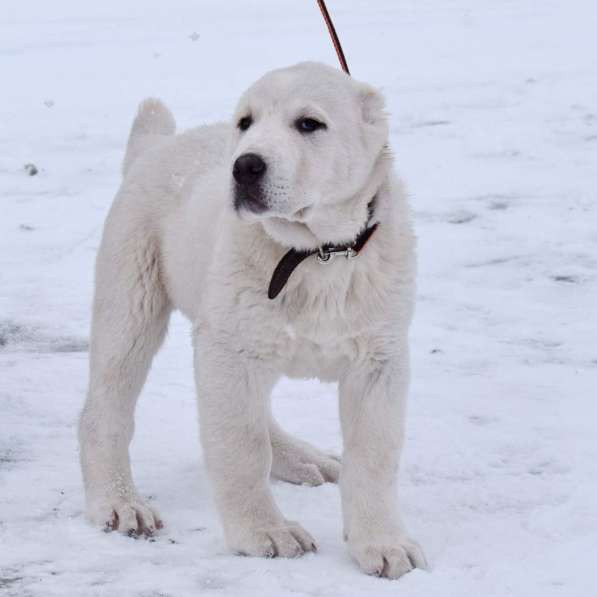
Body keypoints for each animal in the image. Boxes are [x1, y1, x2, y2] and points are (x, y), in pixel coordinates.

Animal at [78, 61, 424, 576]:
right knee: (107, 403)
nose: (244, 166)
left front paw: (382, 543)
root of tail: (156, 147)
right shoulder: (227, 349)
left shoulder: (378, 357)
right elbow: (241, 444)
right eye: (245, 121)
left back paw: (303, 459)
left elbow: (375, 454)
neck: (316, 253)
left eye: (309, 124)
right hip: (131, 295)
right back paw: (119, 503)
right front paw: (265, 532)